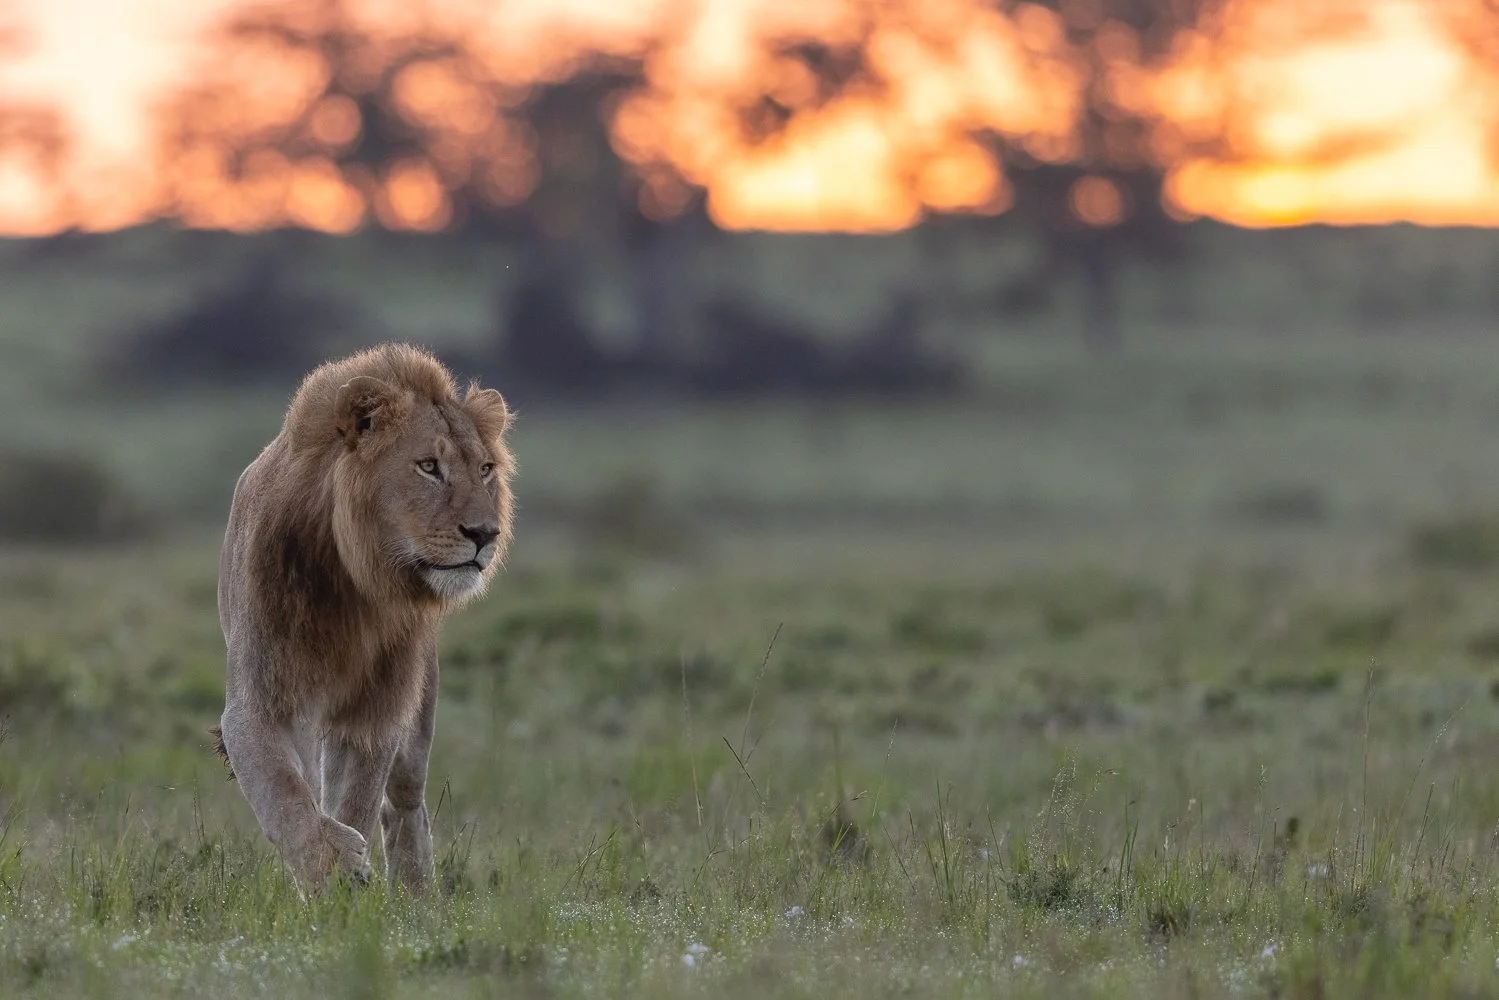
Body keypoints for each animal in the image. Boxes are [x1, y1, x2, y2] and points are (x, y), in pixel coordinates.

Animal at [210, 342, 514, 893]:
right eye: (429, 466)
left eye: (484, 469)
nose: (485, 534)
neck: (346, 579)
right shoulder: (258, 703)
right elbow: (286, 795)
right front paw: (332, 869)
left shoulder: (375, 711)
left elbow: (357, 800)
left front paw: (347, 882)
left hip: (419, 711)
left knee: (405, 805)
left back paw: (417, 894)